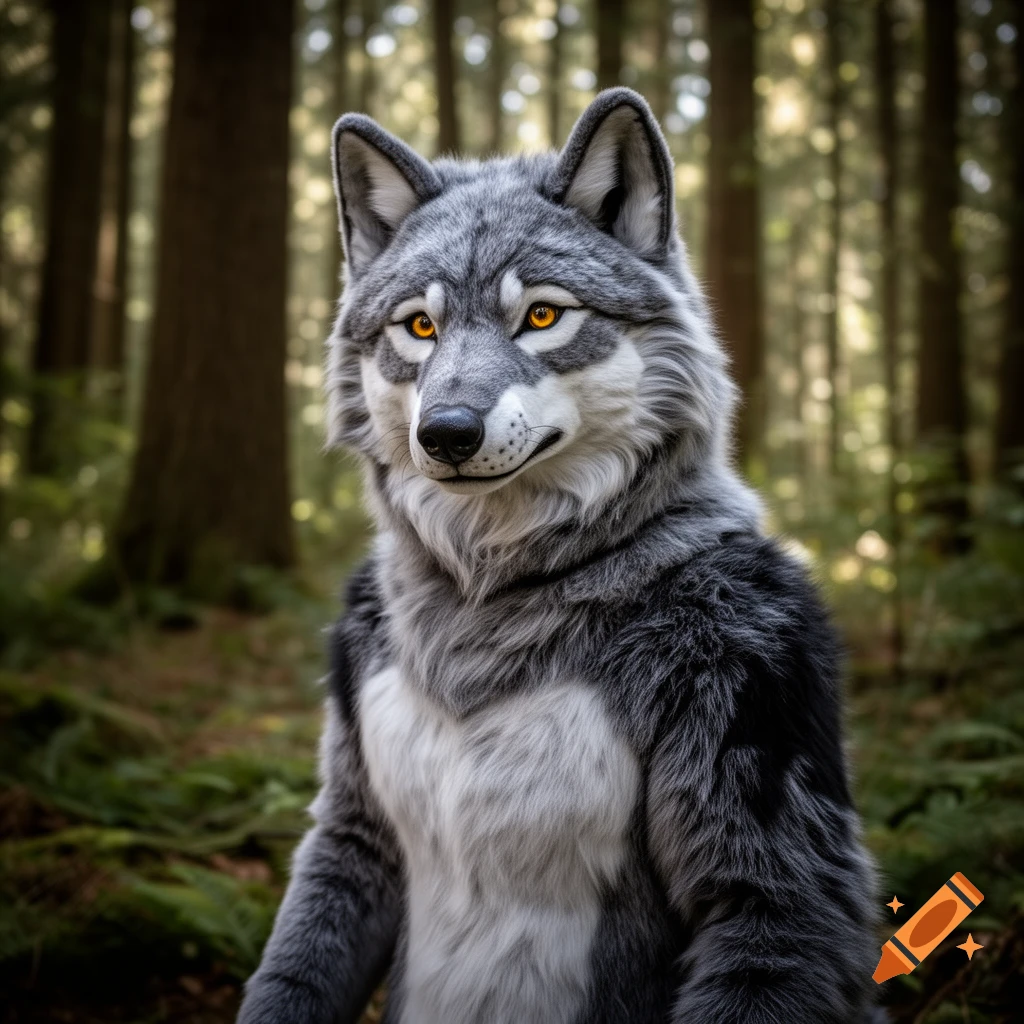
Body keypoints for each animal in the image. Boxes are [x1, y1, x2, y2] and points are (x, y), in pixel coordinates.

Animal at [238, 88, 883, 1024]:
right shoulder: (352, 827)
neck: (485, 598)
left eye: (541, 315)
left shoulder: (761, 732)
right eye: (420, 326)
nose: (446, 433)